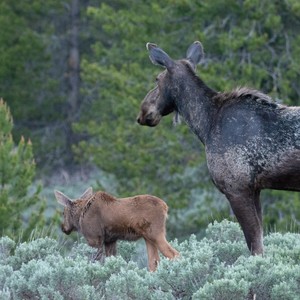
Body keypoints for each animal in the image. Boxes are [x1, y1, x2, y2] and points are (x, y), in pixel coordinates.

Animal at [137, 40, 300, 255]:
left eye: (157, 79)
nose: (142, 112)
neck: (206, 125)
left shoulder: (236, 188)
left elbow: (255, 246)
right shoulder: (254, 189)